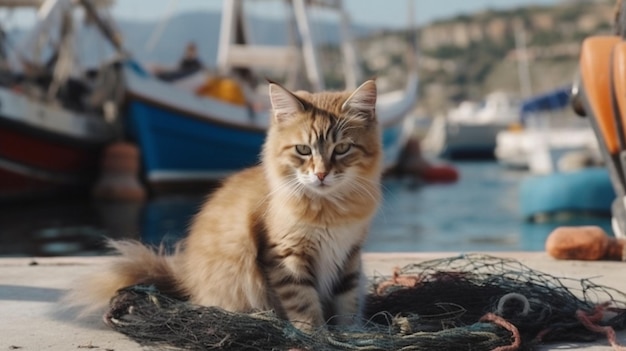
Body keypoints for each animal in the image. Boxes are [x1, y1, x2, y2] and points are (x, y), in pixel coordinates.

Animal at [68, 78, 380, 332]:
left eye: (342, 149)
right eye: (303, 150)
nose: (321, 174)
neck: (330, 210)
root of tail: (186, 279)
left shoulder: (350, 255)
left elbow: (348, 302)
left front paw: (350, 333)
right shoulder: (287, 258)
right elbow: (305, 305)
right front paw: (316, 335)